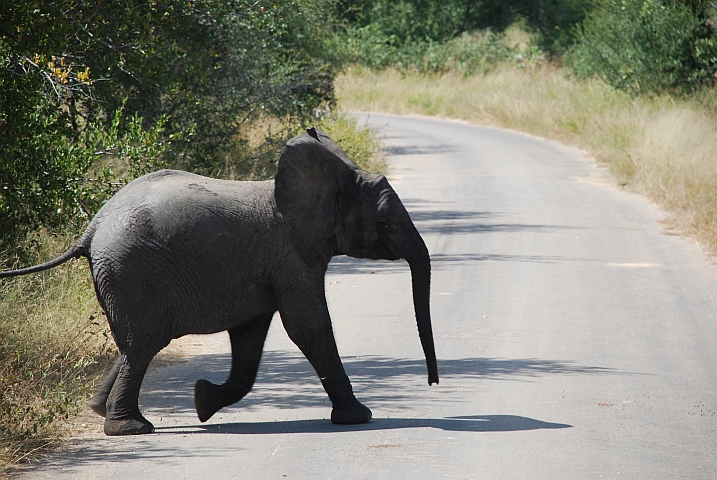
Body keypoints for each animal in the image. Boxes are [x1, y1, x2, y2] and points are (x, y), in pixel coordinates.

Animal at [0, 127, 438, 436]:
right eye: (384, 224)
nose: (434, 382)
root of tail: (92, 229)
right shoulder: (291, 257)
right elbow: (308, 327)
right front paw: (359, 417)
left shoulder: (269, 265)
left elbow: (250, 337)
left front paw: (203, 401)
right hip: (133, 273)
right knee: (144, 343)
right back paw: (130, 428)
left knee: (135, 344)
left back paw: (102, 409)